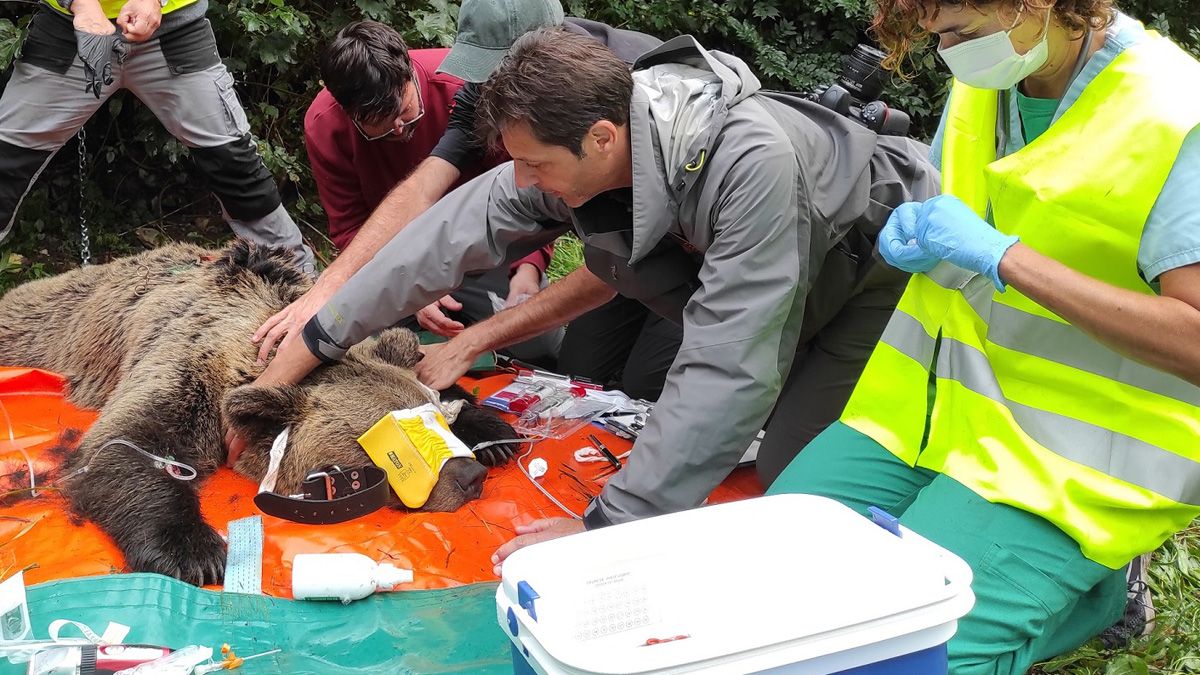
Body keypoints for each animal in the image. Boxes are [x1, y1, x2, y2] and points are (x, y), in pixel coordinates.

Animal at [0, 240, 516, 583]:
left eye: (438, 421)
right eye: (394, 449)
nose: (470, 477)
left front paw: (493, 434)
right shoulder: (186, 366)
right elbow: (129, 445)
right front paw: (195, 552)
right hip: (43, 328)